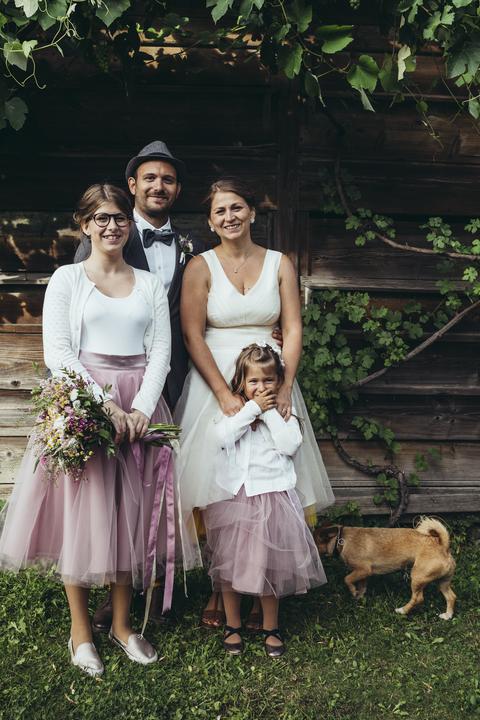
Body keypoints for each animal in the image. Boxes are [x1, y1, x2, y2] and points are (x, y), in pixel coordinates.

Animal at [314, 518, 456, 620]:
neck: (341, 540)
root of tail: (443, 547)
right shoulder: (363, 574)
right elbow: (362, 585)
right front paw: (359, 596)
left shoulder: (363, 570)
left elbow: (347, 579)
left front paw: (353, 591)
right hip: (443, 582)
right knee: (451, 596)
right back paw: (447, 615)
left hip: (417, 577)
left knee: (418, 598)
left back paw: (402, 610)